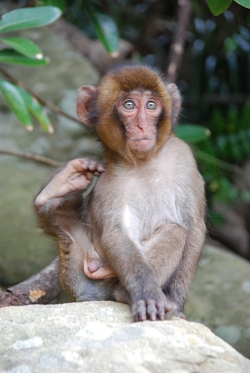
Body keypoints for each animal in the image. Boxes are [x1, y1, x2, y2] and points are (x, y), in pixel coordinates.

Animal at [34, 64, 206, 320]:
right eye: (129, 105)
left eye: (151, 105)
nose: (142, 125)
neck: (145, 161)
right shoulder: (110, 181)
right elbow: (117, 234)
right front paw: (147, 293)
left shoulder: (183, 157)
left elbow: (194, 226)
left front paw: (176, 303)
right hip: (77, 274)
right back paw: (56, 193)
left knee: (176, 230)